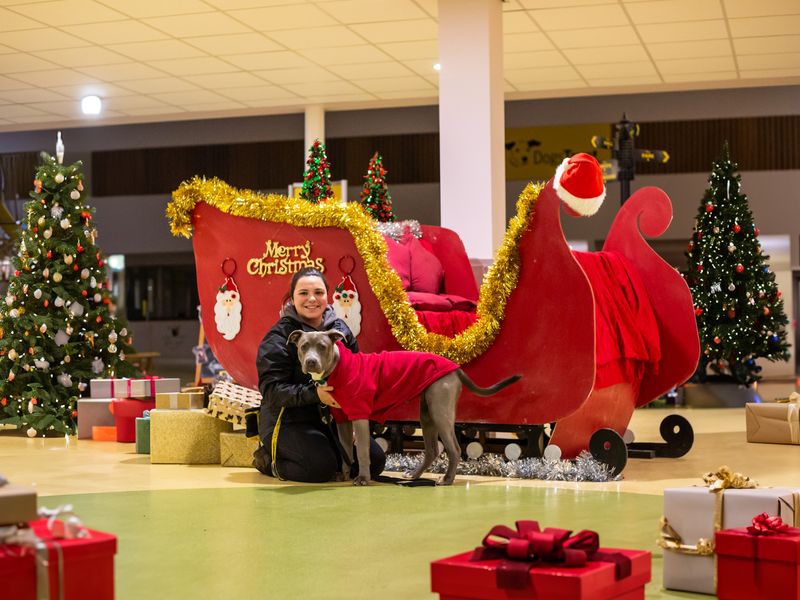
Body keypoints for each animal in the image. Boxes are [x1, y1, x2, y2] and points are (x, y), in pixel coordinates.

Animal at [286, 328, 520, 488]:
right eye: (304, 346)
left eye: (322, 346)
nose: (311, 361)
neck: (337, 367)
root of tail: (455, 368)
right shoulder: (342, 419)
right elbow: (346, 451)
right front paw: (343, 475)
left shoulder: (359, 416)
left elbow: (361, 450)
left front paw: (362, 478)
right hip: (427, 414)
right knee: (432, 450)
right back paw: (414, 476)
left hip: (440, 412)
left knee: (454, 448)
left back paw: (446, 479)